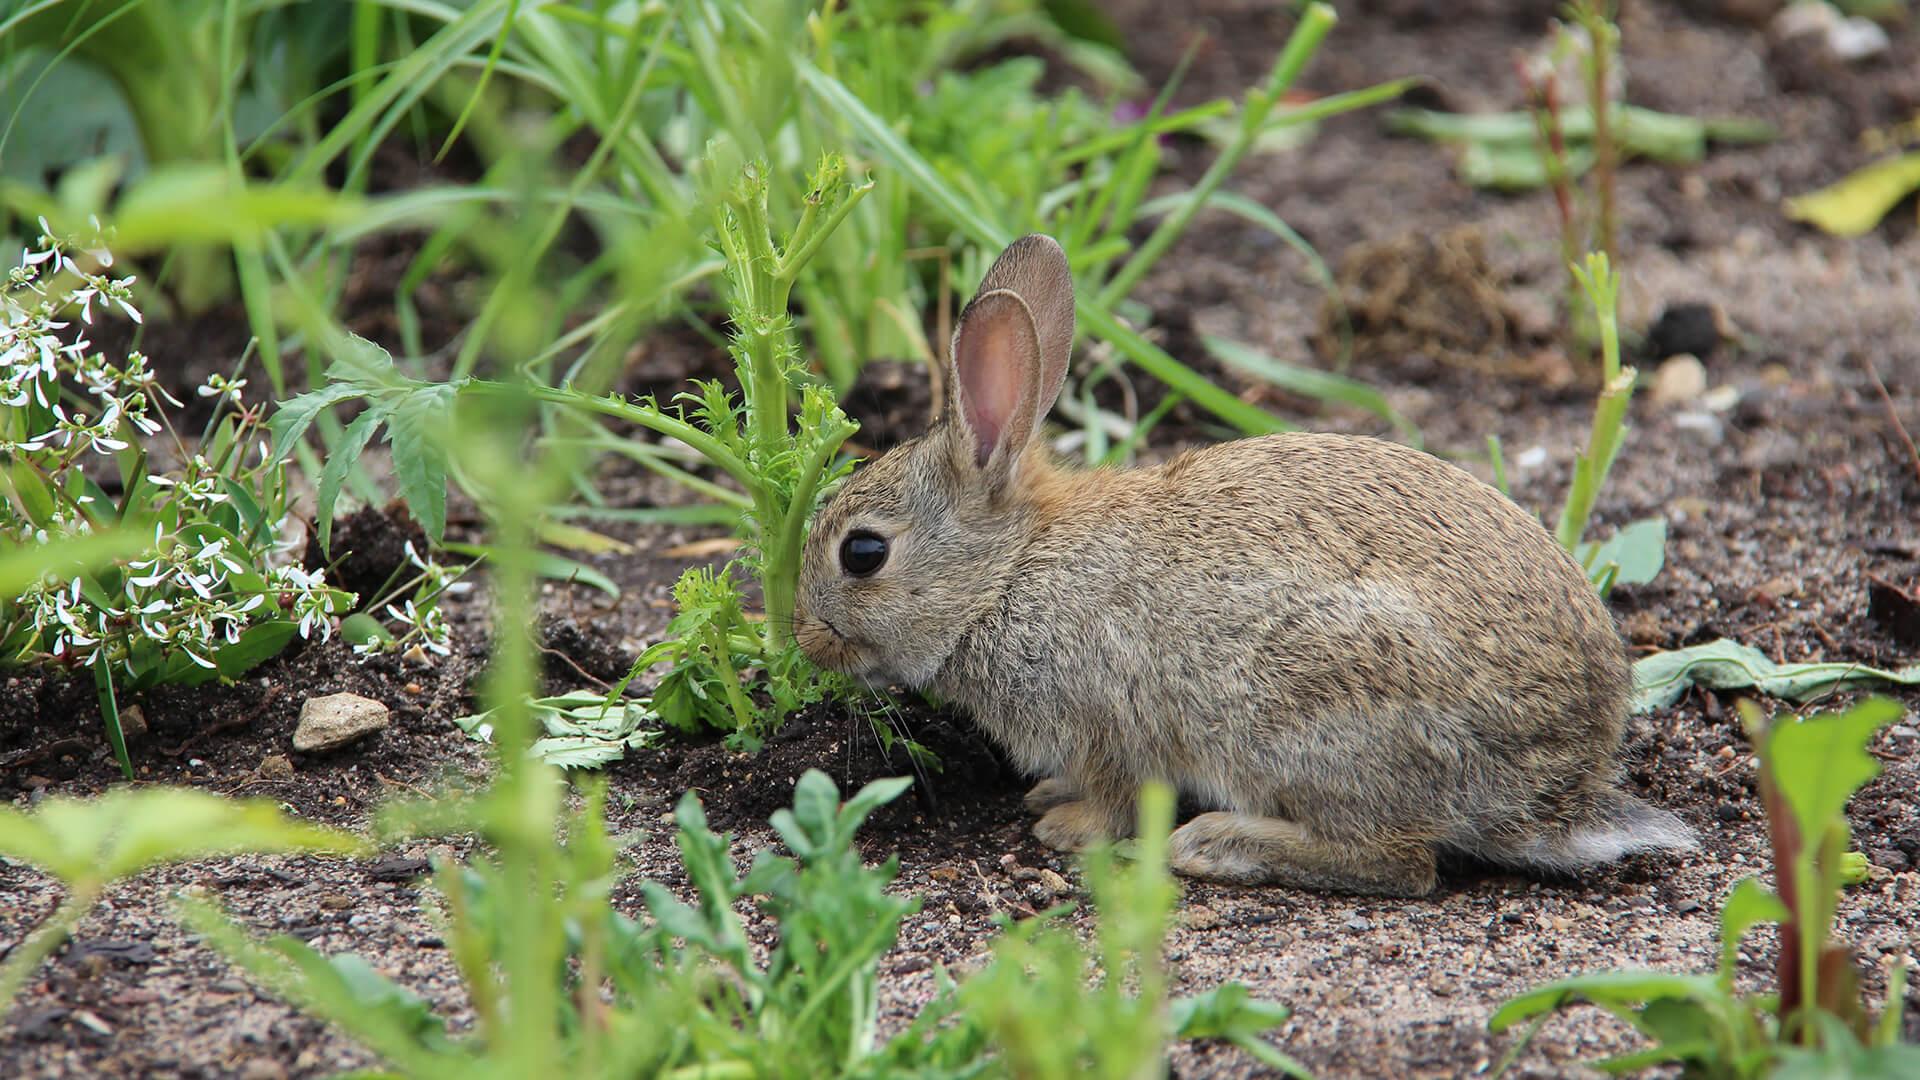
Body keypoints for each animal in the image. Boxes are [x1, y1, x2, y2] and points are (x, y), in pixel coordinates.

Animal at [794, 233, 1697, 891]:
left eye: (863, 553)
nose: (804, 639)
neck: (1008, 572)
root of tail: (1556, 791)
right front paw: (1049, 796)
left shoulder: (1105, 718)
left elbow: (1116, 796)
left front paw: (1064, 825)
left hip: (1304, 713)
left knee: (1403, 862)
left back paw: (1217, 843)